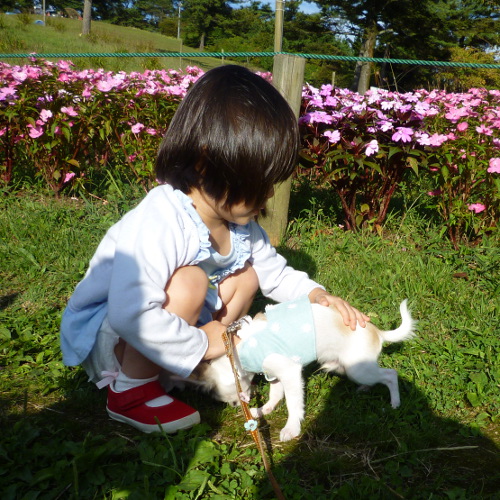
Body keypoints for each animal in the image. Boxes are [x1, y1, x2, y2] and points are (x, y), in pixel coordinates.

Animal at [190, 296, 414, 442]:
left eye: (233, 400)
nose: (236, 406)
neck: (240, 349)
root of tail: (378, 332)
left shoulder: (290, 373)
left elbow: (293, 403)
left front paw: (291, 428)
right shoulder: (275, 375)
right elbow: (275, 395)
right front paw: (264, 410)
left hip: (357, 369)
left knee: (390, 375)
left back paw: (395, 402)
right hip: (349, 368)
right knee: (375, 378)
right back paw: (365, 389)